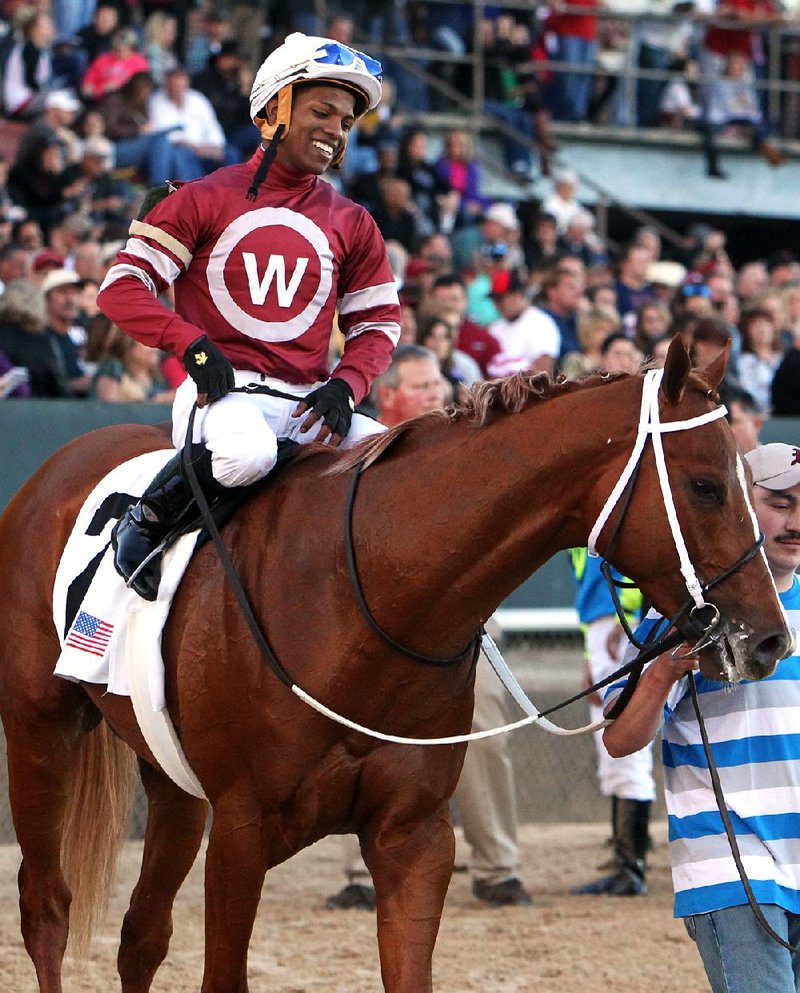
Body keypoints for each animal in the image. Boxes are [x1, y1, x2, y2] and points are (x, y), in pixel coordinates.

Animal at [0, 338, 792, 988]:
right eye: (706, 485)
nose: (769, 640)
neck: (362, 592)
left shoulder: (414, 836)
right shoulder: (241, 832)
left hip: (172, 780)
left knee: (142, 933)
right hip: (40, 734)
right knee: (46, 907)